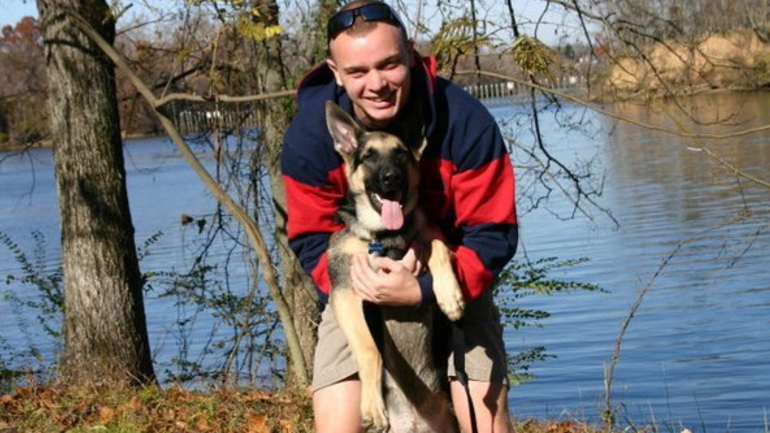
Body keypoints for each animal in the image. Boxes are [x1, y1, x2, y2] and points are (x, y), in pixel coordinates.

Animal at [324, 101, 465, 432]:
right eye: (368, 157)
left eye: (400, 153)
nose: (391, 178)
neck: (384, 237)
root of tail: (413, 419)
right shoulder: (345, 292)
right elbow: (369, 348)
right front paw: (372, 407)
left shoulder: (428, 238)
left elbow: (438, 247)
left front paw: (450, 297)